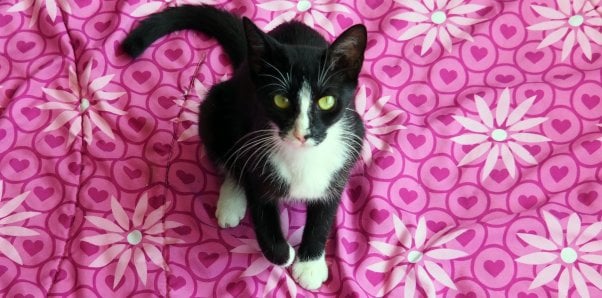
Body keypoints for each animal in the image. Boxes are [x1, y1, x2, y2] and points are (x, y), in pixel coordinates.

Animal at [120, 4, 366, 288]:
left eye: (327, 101)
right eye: (281, 100)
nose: (302, 134)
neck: (301, 156)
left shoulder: (346, 154)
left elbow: (325, 214)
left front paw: (310, 265)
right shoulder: (254, 146)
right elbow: (259, 202)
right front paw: (282, 252)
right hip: (214, 109)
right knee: (226, 158)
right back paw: (230, 203)